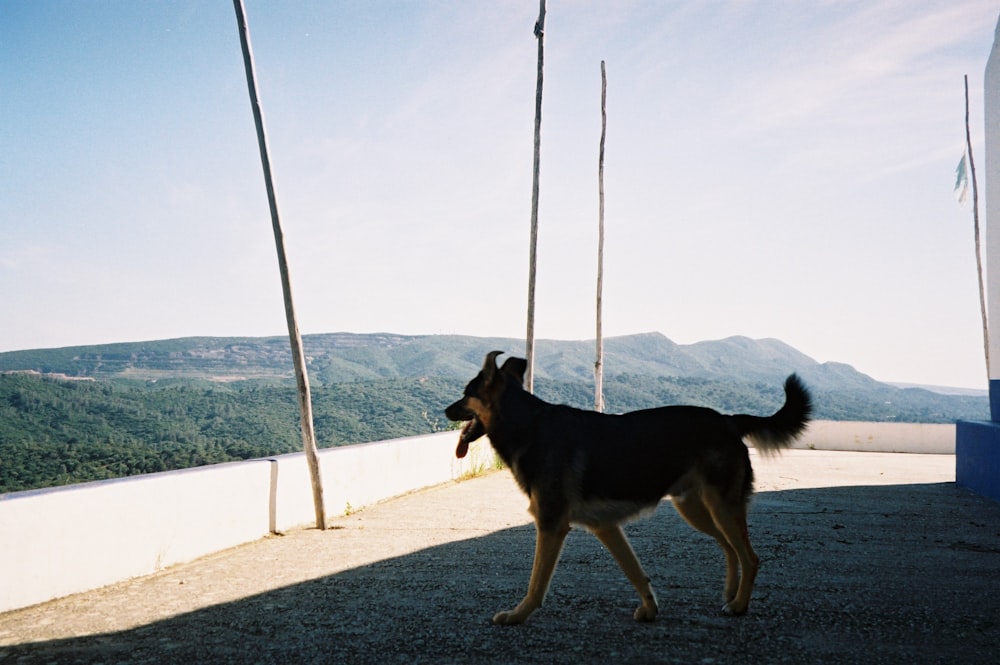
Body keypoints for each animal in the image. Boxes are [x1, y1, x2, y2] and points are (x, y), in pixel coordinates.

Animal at [446, 350, 812, 624]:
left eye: (466, 393)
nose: (446, 410)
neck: (526, 424)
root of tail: (729, 420)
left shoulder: (551, 526)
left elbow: (536, 583)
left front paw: (518, 615)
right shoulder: (606, 527)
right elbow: (635, 571)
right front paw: (650, 608)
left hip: (720, 506)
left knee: (750, 556)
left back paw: (738, 605)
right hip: (697, 509)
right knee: (730, 549)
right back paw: (730, 594)